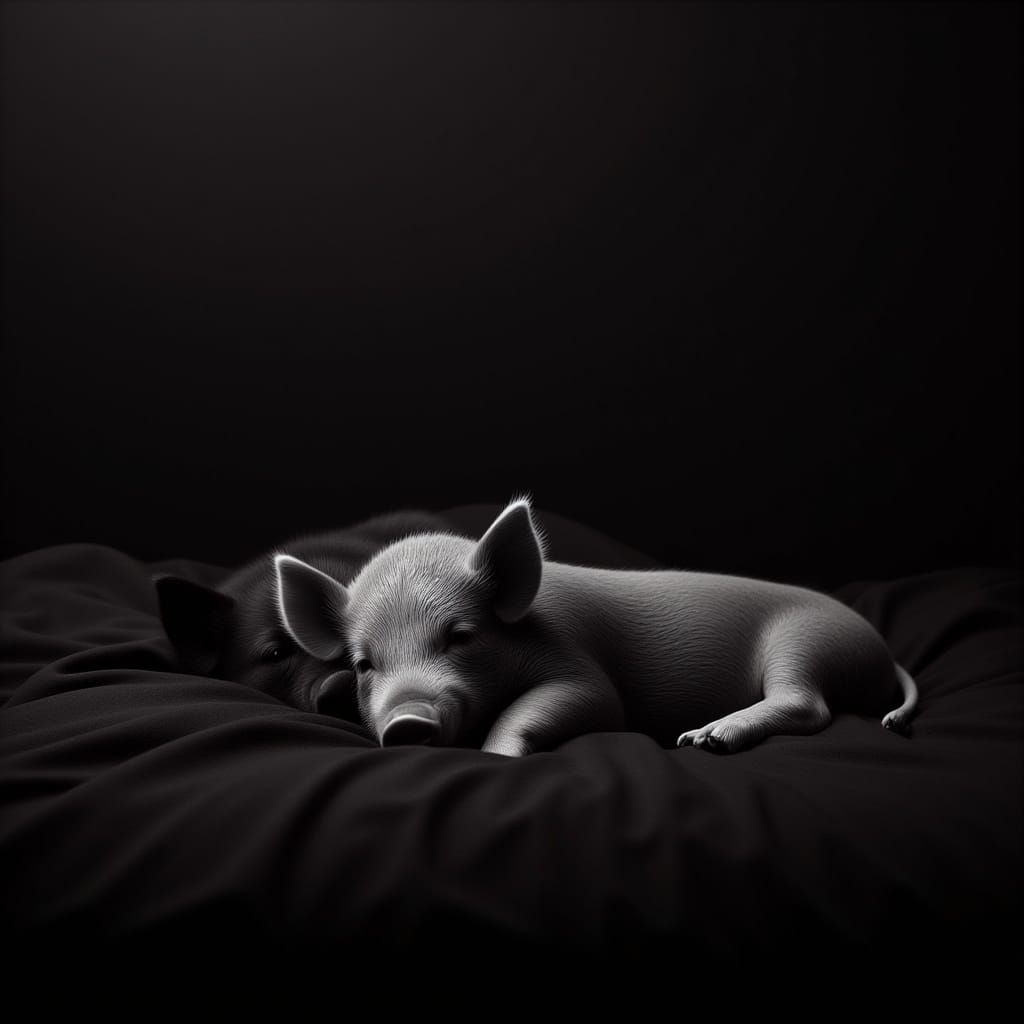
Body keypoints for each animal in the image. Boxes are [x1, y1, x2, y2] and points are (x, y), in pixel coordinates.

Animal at [273, 498, 918, 755]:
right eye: (364, 665)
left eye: (460, 636)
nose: (407, 722)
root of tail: (881, 655)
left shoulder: (576, 665)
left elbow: (582, 702)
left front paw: (497, 756)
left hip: (804, 641)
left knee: (809, 705)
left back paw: (702, 740)